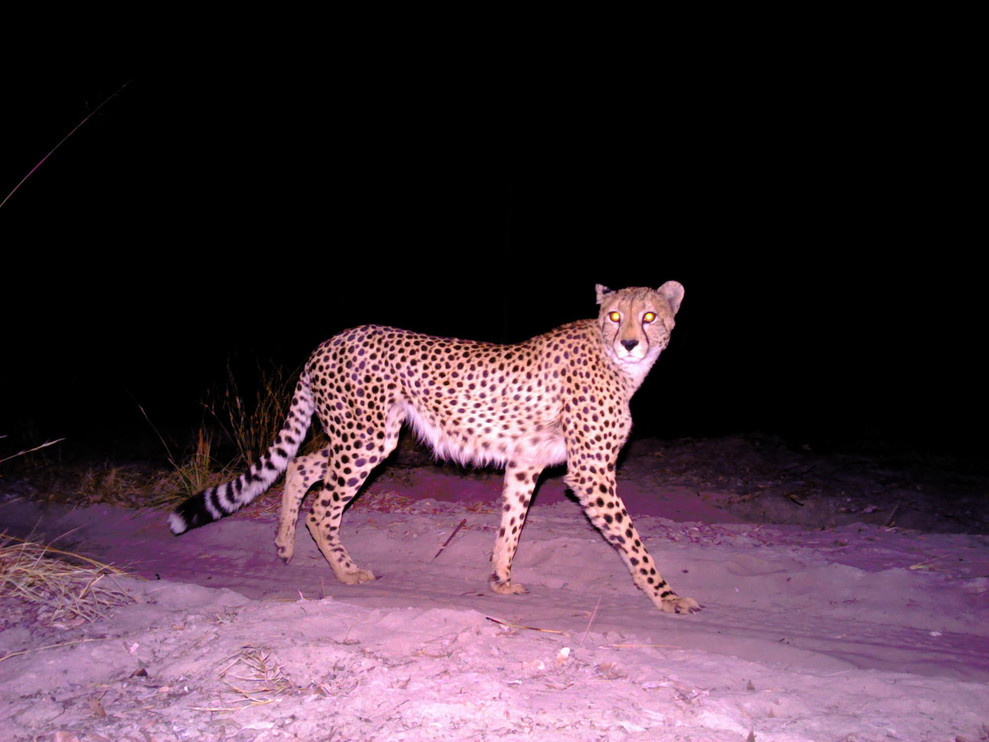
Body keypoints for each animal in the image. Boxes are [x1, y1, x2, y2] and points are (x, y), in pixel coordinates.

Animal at [169, 283, 700, 614]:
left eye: (649, 317)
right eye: (615, 317)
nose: (630, 343)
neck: (621, 368)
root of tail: (330, 341)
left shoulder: (525, 464)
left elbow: (511, 526)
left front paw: (500, 579)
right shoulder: (591, 474)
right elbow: (632, 540)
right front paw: (667, 595)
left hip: (360, 435)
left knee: (300, 464)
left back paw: (284, 543)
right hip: (365, 439)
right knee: (322, 507)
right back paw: (347, 572)